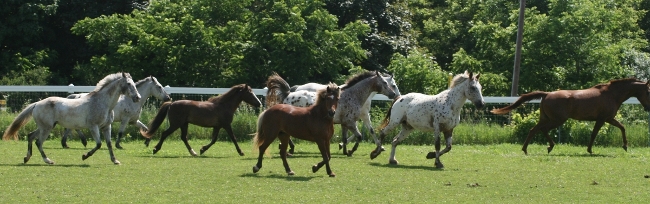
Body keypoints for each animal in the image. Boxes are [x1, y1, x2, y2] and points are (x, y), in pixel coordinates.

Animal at [2, 72, 140, 165]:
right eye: (129, 84)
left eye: (134, 84)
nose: (137, 97)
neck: (102, 103)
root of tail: (37, 104)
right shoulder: (93, 126)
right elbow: (99, 144)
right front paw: (85, 156)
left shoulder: (106, 126)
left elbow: (109, 144)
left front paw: (115, 160)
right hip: (46, 128)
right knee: (38, 142)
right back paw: (48, 160)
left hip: (45, 126)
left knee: (31, 136)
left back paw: (27, 158)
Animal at [266, 70, 398, 156]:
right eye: (385, 83)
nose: (394, 95)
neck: (352, 95)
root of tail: (288, 95)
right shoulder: (351, 122)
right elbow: (360, 136)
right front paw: (350, 151)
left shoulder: (345, 123)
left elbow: (346, 138)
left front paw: (344, 150)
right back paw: (290, 149)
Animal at [488, 78, 648, 155]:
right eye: (648, 91)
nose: (648, 107)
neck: (611, 94)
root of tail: (547, 94)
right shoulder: (603, 119)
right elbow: (594, 134)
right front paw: (590, 150)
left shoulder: (608, 118)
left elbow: (622, 127)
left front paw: (625, 146)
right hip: (557, 120)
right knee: (541, 130)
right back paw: (546, 147)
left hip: (547, 119)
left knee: (534, 129)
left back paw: (531, 149)